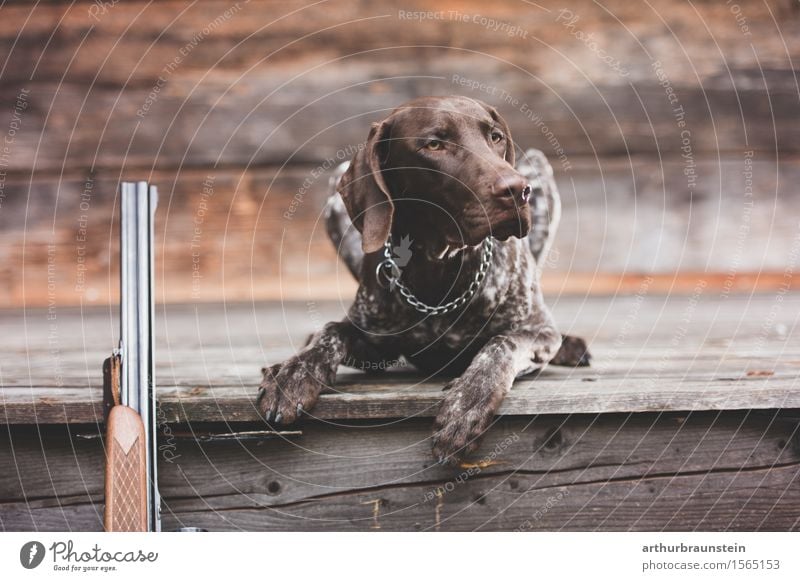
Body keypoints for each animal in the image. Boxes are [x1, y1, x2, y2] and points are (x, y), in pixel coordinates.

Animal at [256, 97, 588, 464]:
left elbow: (501, 344)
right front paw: (292, 374)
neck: (439, 266)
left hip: (539, 169)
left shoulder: (536, 331)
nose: (516, 190)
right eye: (433, 144)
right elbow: (331, 330)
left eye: (496, 137)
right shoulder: (375, 344)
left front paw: (466, 405)